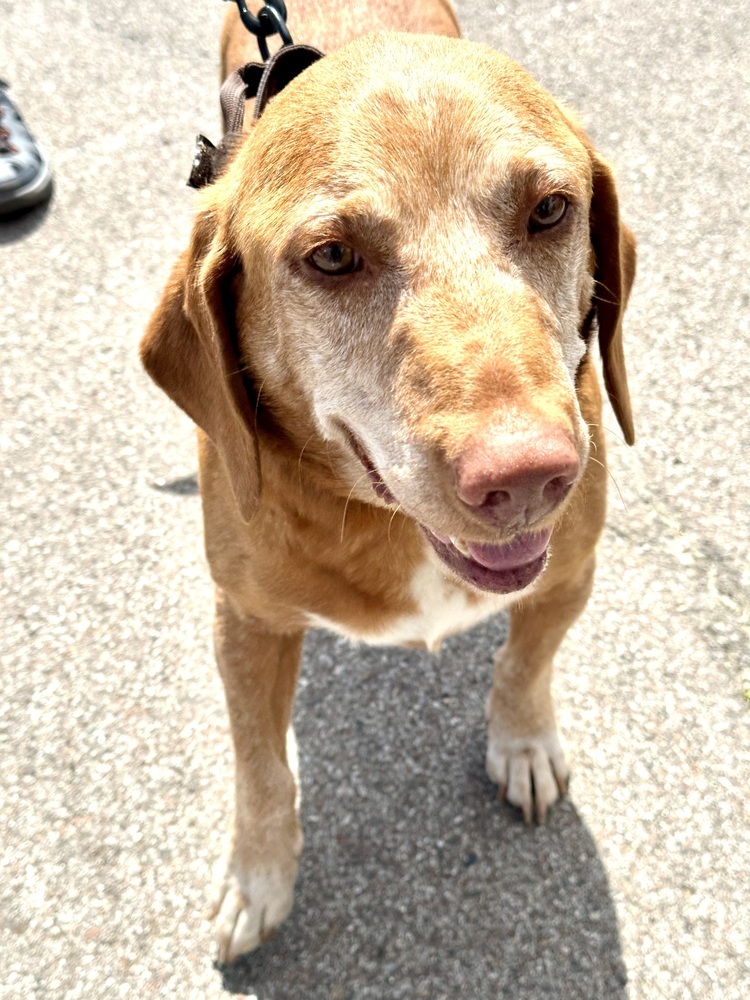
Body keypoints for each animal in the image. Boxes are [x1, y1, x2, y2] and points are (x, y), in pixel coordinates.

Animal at [140, 0, 636, 960]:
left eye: (551, 210)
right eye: (332, 258)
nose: (529, 477)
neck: (388, 527)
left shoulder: (571, 572)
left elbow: (525, 663)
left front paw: (522, 741)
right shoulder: (245, 623)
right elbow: (260, 769)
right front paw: (258, 876)